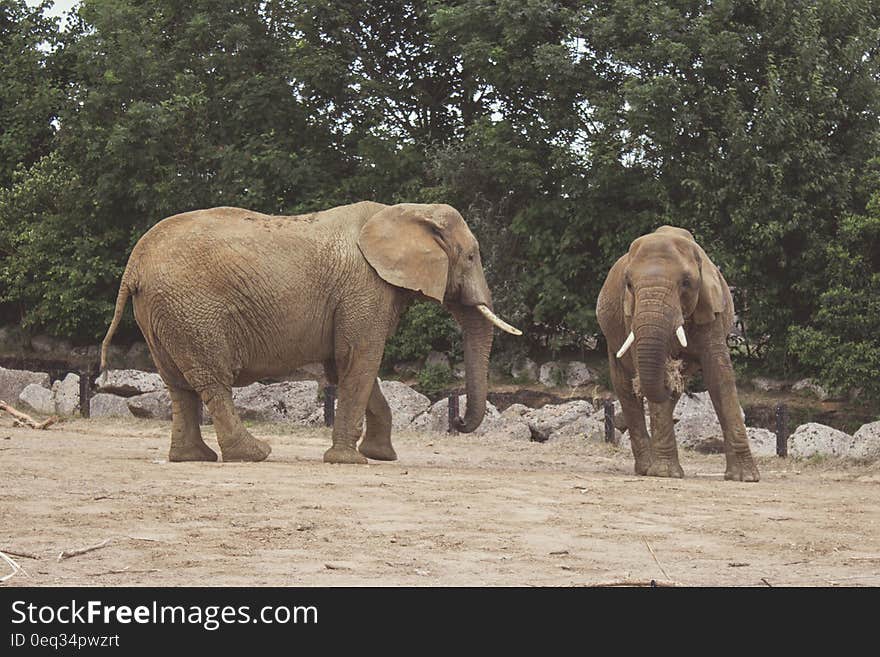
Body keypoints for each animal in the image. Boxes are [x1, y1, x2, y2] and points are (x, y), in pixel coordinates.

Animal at [100, 200, 520, 462]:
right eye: (471, 256)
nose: (459, 421)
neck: (406, 211)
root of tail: (134, 264)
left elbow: (345, 366)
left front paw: (379, 456)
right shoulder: (363, 289)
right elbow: (360, 360)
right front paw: (349, 461)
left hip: (163, 312)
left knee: (179, 385)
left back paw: (194, 458)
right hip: (191, 309)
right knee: (212, 380)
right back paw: (255, 454)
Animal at [596, 227, 760, 482]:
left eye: (686, 283)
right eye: (629, 284)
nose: (672, 368)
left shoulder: (711, 310)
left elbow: (719, 376)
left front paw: (745, 477)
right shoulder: (630, 314)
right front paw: (665, 473)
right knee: (625, 387)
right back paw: (646, 468)